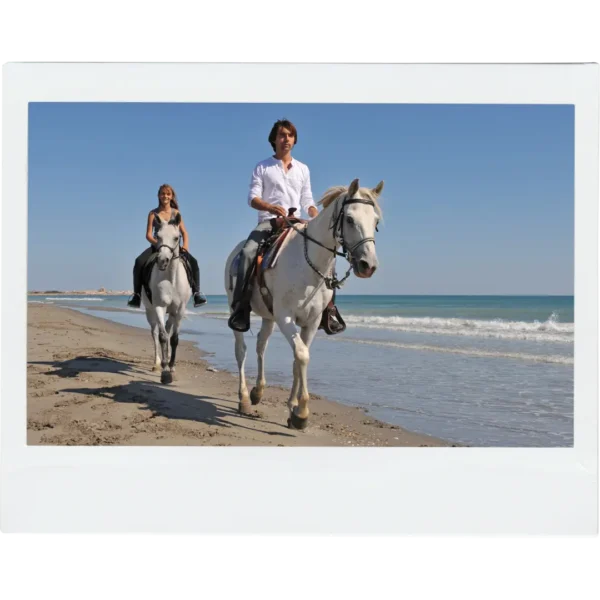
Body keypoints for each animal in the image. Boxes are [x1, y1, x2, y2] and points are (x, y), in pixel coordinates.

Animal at [139, 212, 191, 384]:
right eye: (158, 236)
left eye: (176, 237)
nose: (162, 261)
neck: (171, 279)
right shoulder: (159, 307)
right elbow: (162, 337)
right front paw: (165, 372)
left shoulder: (179, 310)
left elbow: (173, 339)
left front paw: (171, 366)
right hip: (150, 312)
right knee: (155, 333)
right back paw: (157, 364)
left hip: (172, 313)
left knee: (168, 332)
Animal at [225, 176, 384, 428]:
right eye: (349, 219)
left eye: (376, 221)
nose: (368, 265)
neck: (307, 263)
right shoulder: (286, 317)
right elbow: (302, 355)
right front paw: (302, 413)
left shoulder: (312, 321)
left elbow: (298, 359)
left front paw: (293, 406)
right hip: (239, 310)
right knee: (241, 350)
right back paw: (244, 400)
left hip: (269, 317)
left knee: (261, 345)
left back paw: (258, 391)